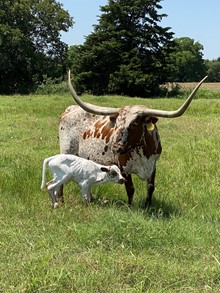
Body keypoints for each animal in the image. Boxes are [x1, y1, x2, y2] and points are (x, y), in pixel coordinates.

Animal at [58, 71, 206, 206]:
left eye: (134, 124)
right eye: (117, 123)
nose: (116, 148)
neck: (142, 151)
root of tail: (70, 108)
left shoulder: (153, 165)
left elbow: (151, 187)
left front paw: (148, 206)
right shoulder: (124, 168)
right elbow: (130, 188)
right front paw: (130, 207)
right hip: (66, 151)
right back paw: (60, 202)